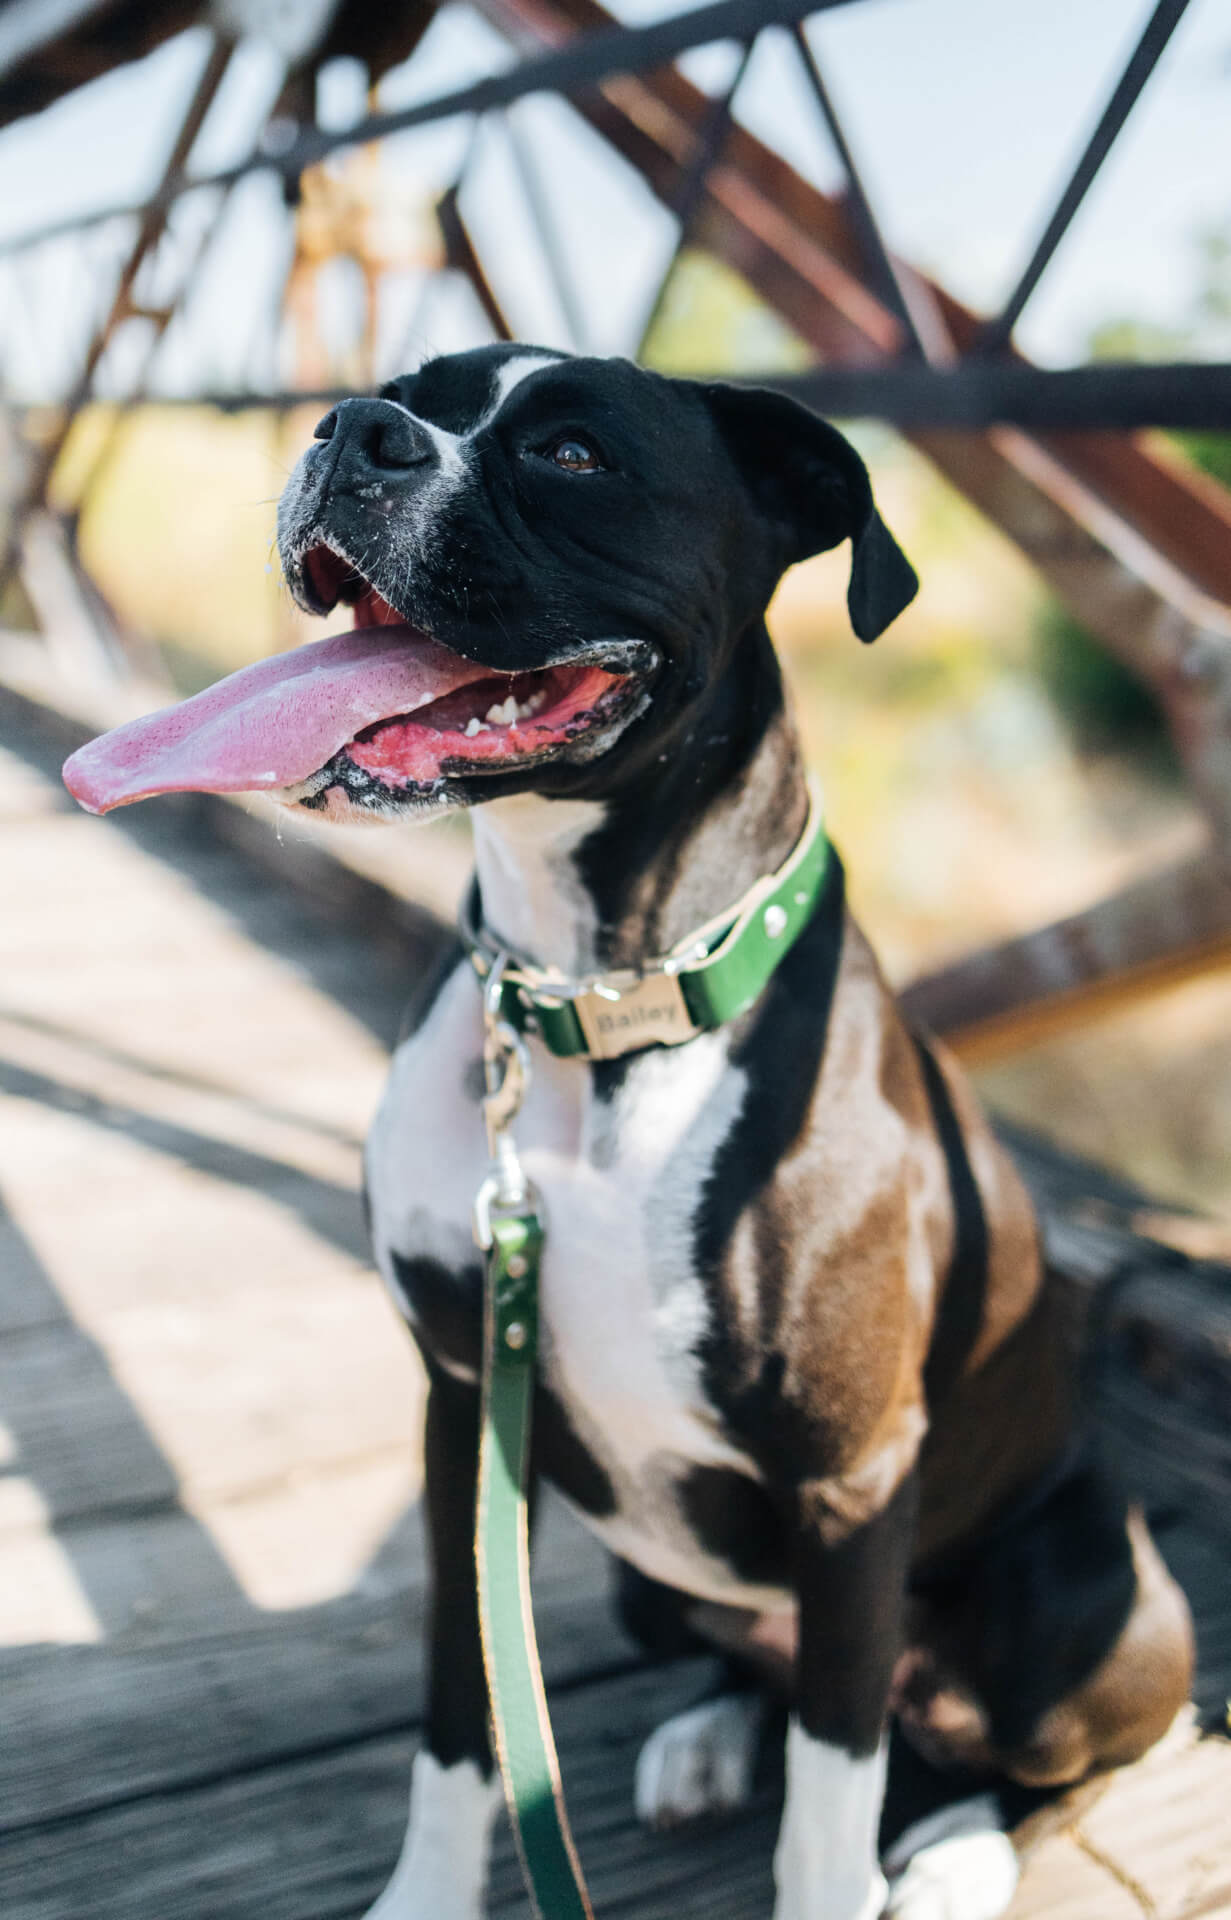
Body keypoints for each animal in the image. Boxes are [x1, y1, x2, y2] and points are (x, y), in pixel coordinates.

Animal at [60, 349, 1190, 1920]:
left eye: (575, 455)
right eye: (404, 389)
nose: (354, 429)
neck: (591, 1010)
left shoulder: (852, 1485)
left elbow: (829, 1806)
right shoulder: (461, 1408)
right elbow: (463, 1705)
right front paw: (426, 1895)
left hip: (1089, 1603)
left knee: (1025, 1755)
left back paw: (956, 1854)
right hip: (653, 1581)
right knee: (757, 1670)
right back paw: (708, 1741)